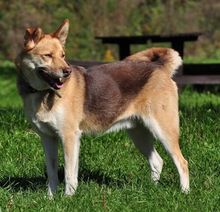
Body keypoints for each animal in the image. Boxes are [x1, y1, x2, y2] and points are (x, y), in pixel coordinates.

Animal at [15, 19, 189, 196]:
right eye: (48, 55)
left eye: (63, 55)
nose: (67, 71)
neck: (42, 92)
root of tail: (160, 67)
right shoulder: (47, 138)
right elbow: (52, 174)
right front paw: (50, 198)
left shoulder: (69, 136)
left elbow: (69, 174)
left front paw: (68, 198)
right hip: (138, 132)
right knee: (157, 161)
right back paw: (151, 188)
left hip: (163, 130)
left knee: (182, 162)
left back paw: (184, 192)